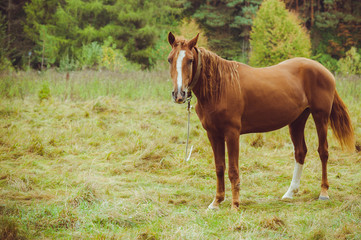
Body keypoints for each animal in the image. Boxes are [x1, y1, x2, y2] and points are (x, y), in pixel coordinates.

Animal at [167, 32, 354, 210]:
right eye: (170, 59)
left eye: (190, 60)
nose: (179, 94)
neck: (220, 87)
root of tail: (325, 70)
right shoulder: (213, 134)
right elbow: (219, 167)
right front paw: (216, 202)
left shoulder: (232, 134)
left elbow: (233, 169)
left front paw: (235, 205)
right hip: (297, 120)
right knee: (300, 152)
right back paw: (290, 193)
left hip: (320, 116)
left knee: (323, 151)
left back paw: (323, 193)